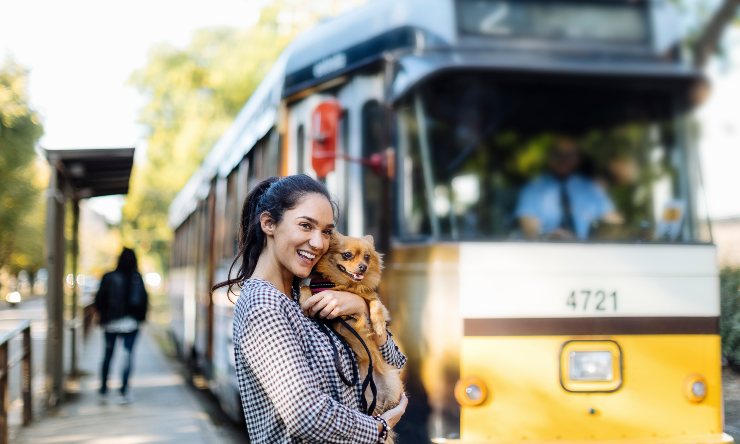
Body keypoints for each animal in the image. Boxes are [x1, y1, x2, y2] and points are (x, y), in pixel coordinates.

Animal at [300, 234, 404, 422]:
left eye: (367, 257)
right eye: (347, 255)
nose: (363, 267)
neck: (346, 286)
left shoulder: (369, 297)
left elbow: (375, 304)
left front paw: (378, 324)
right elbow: (305, 286)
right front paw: (304, 299)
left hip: (393, 382)